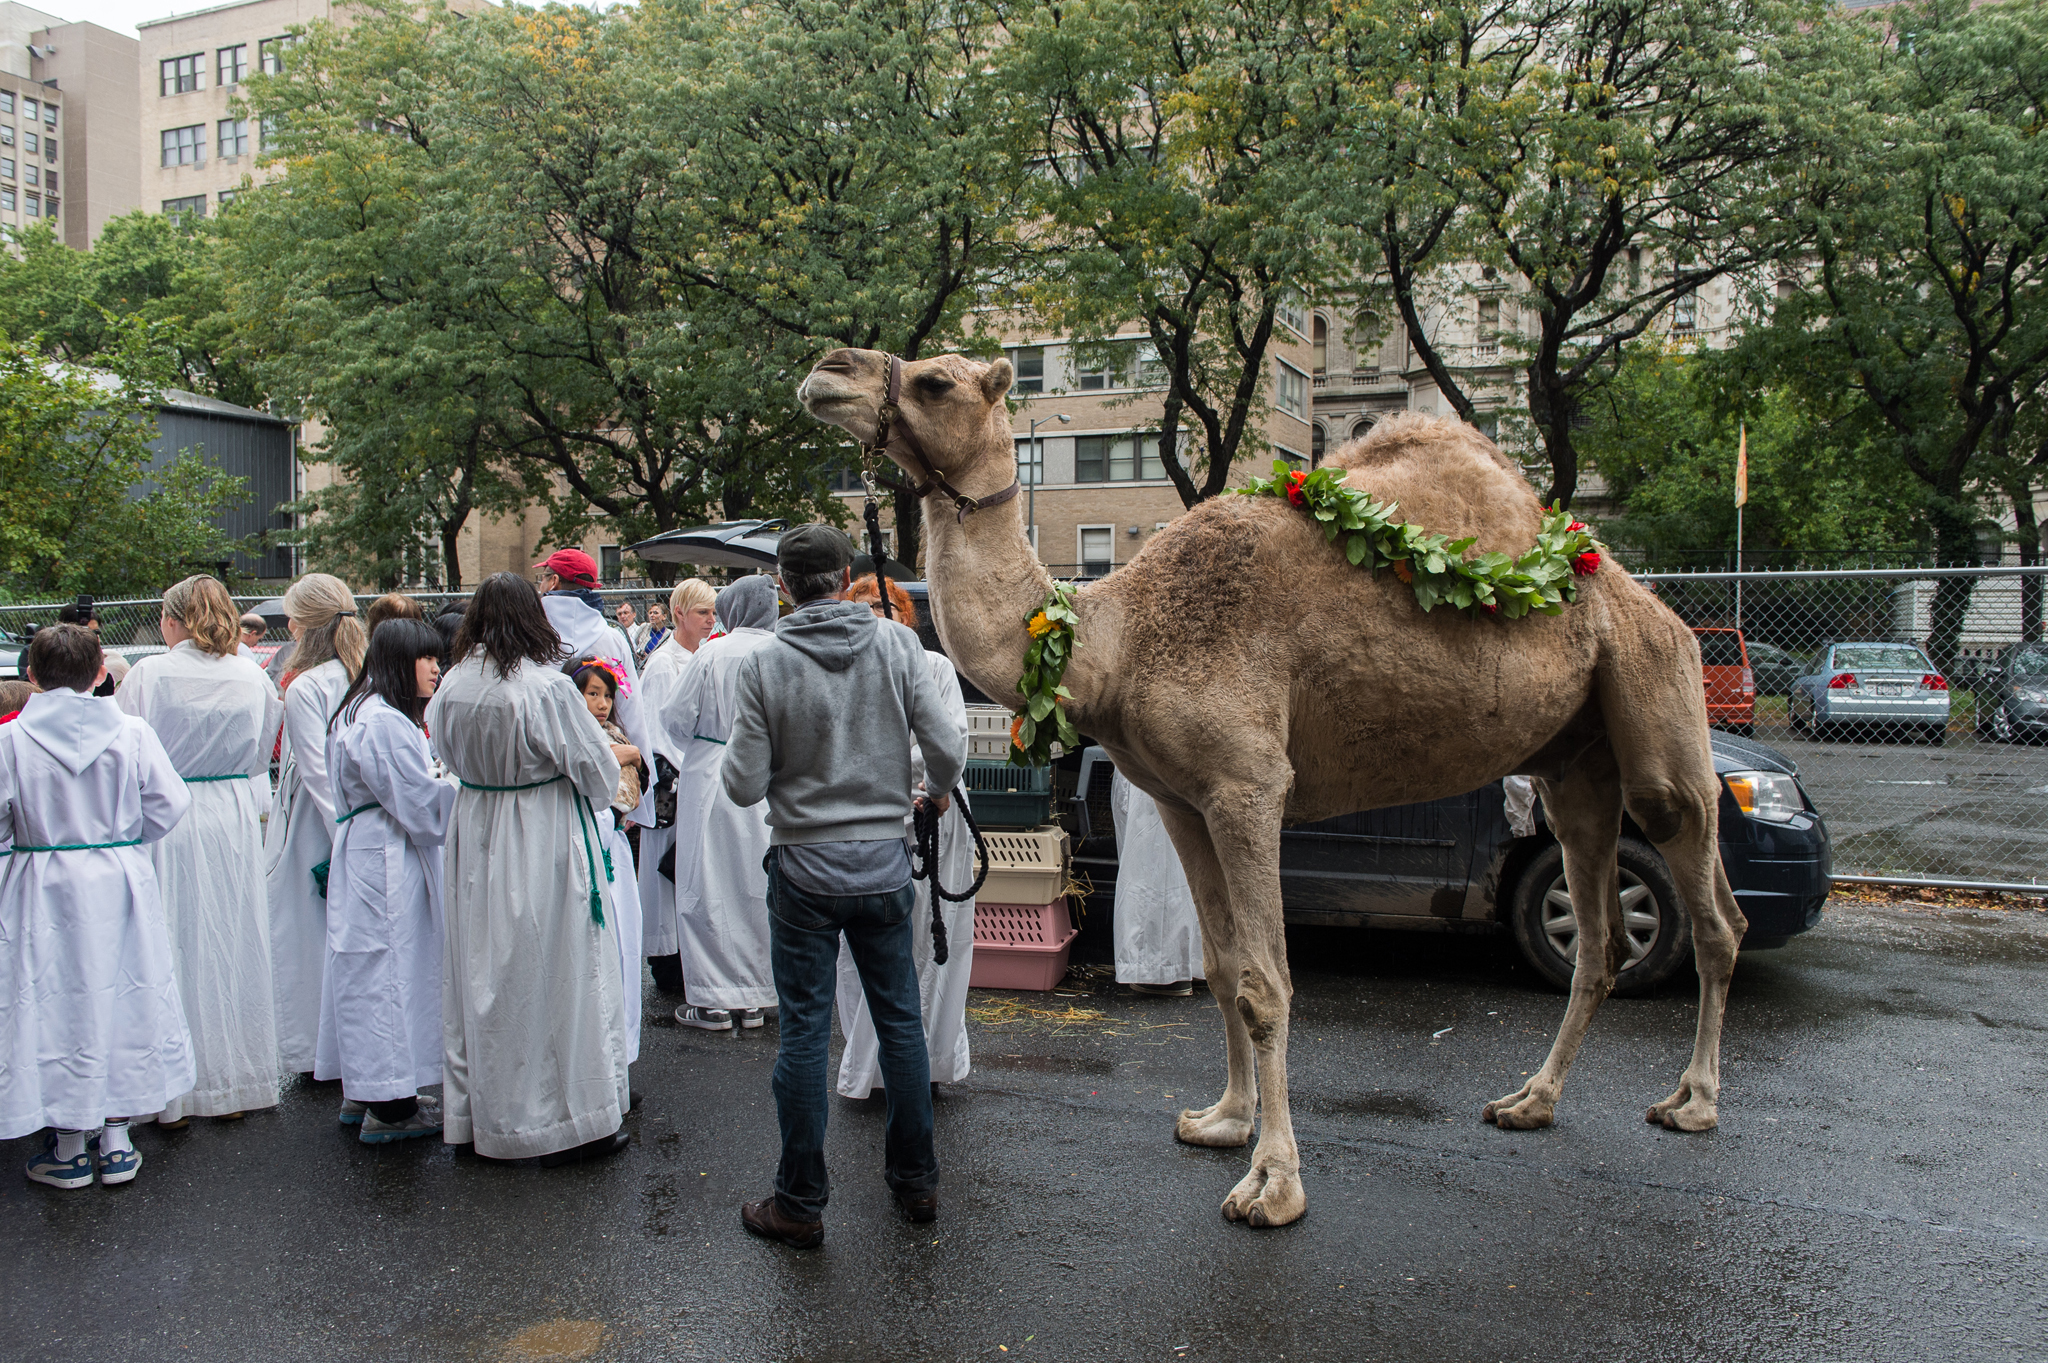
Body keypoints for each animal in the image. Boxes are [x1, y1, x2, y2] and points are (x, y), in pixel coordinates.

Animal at [798, 345, 1744, 1227]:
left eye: (936, 382)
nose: (828, 371)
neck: (1112, 640)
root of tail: (1643, 596)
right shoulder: (1182, 799)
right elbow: (1223, 968)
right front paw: (1222, 1120)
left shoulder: (1247, 785)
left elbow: (1267, 984)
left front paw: (1273, 1183)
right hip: (1573, 762)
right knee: (1601, 935)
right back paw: (1530, 1100)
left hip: (1658, 706)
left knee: (1711, 908)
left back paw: (1692, 1102)